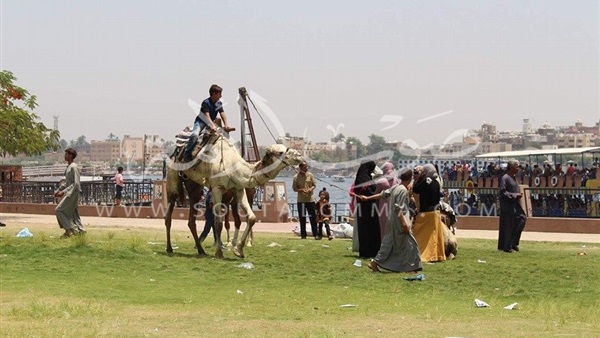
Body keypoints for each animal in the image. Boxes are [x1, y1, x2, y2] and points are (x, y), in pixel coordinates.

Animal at [163, 132, 300, 258]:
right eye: (280, 152)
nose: (299, 156)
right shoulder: (217, 188)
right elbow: (218, 222)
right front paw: (219, 253)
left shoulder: (238, 188)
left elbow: (251, 217)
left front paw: (238, 250)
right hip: (173, 177)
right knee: (169, 214)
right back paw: (169, 248)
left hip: (195, 186)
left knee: (191, 219)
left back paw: (201, 251)